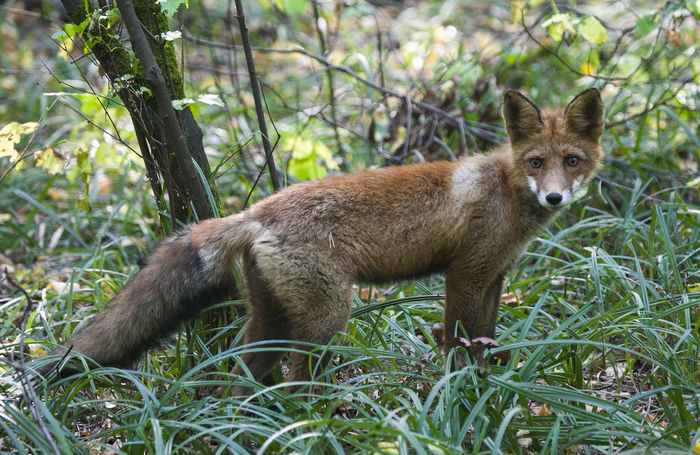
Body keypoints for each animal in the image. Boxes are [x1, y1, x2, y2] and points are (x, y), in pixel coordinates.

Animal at [43, 90, 604, 396]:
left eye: (571, 161)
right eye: (537, 162)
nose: (555, 196)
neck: (506, 191)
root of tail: (256, 212)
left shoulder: (495, 277)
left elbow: (486, 339)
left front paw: (488, 388)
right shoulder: (464, 275)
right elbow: (460, 344)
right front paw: (459, 396)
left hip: (272, 323)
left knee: (235, 378)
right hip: (328, 318)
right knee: (294, 383)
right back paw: (309, 421)